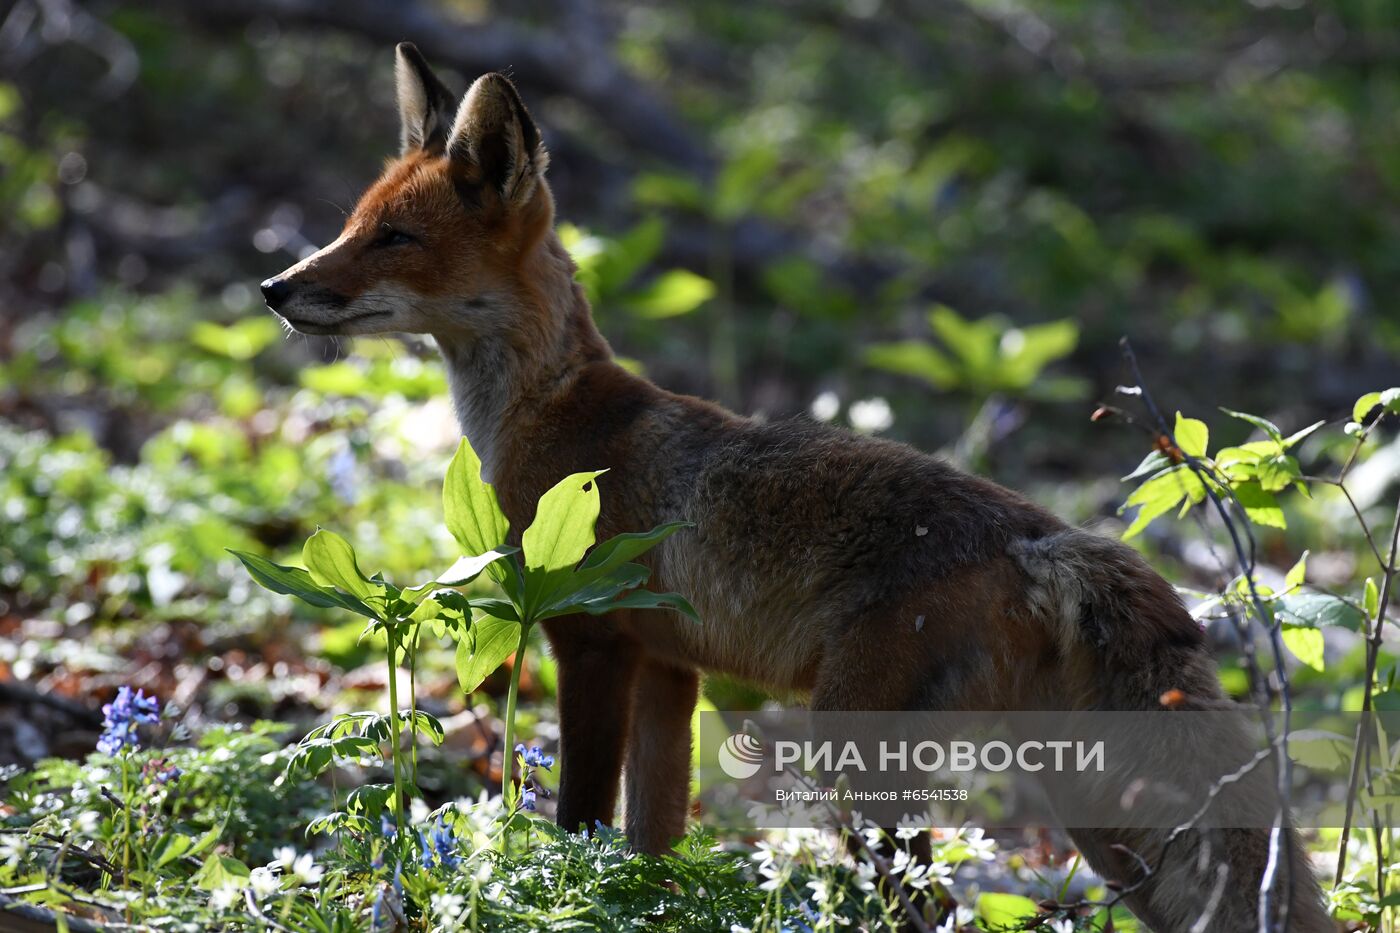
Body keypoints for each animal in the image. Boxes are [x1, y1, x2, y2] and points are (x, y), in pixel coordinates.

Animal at [260, 43, 1332, 930]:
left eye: (394, 238)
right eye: (353, 224)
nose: (275, 286)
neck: (553, 413)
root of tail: (1045, 536)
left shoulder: (590, 640)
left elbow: (576, 826)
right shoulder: (669, 668)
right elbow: (650, 848)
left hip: (860, 757)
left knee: (926, 906)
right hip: (1095, 816)